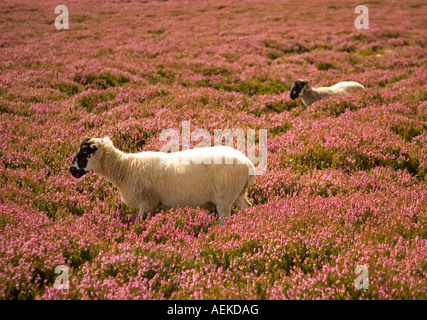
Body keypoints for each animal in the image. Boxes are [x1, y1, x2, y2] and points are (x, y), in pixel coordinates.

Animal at [70, 137, 256, 225]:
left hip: (224, 199)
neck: (126, 168)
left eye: (84, 152)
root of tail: (248, 165)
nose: (72, 170)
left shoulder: (146, 204)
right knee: (249, 208)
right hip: (238, 194)